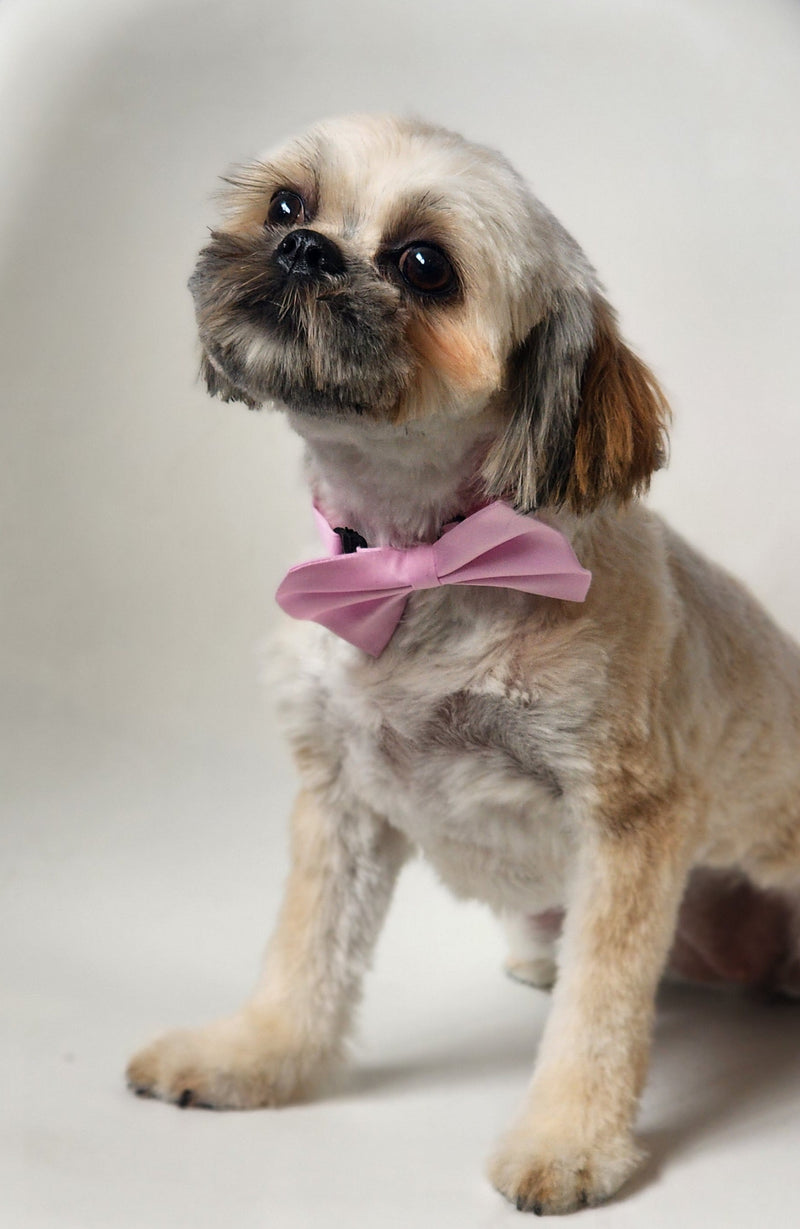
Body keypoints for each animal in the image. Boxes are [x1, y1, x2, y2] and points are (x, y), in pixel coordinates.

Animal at [127, 114, 800, 1214]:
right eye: (285, 203)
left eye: (423, 264)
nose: (304, 249)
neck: (418, 565)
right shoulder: (340, 798)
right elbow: (304, 952)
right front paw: (254, 1057)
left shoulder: (629, 821)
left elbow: (599, 1014)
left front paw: (567, 1142)